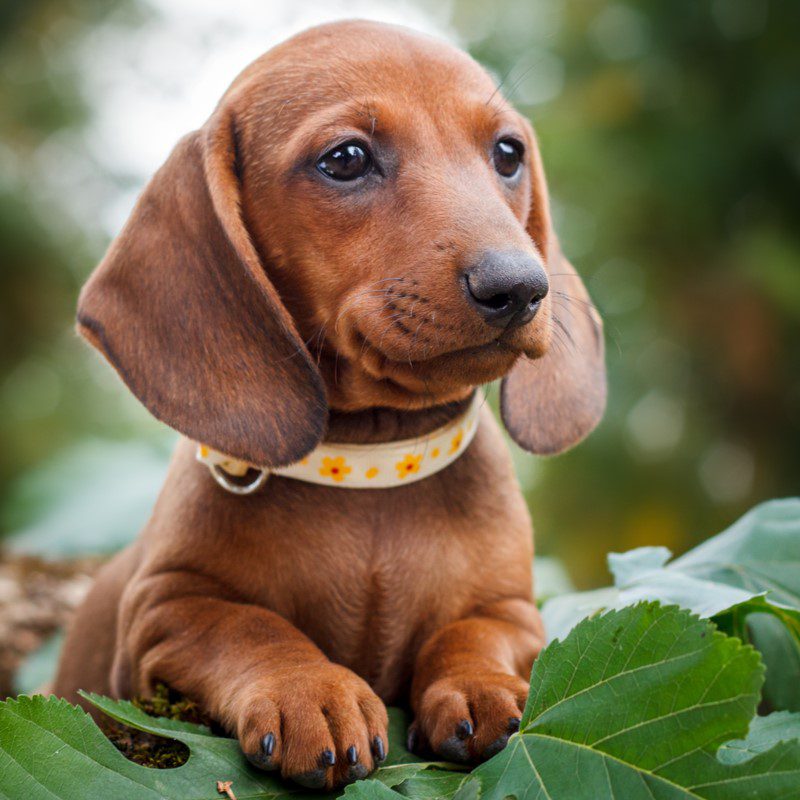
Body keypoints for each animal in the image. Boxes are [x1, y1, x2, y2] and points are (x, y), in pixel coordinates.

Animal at [54, 17, 608, 788]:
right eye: (346, 159)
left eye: (508, 153)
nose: (521, 286)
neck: (372, 465)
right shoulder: (163, 611)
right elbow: (248, 625)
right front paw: (311, 691)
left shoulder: (512, 609)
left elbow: (474, 631)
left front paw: (480, 683)